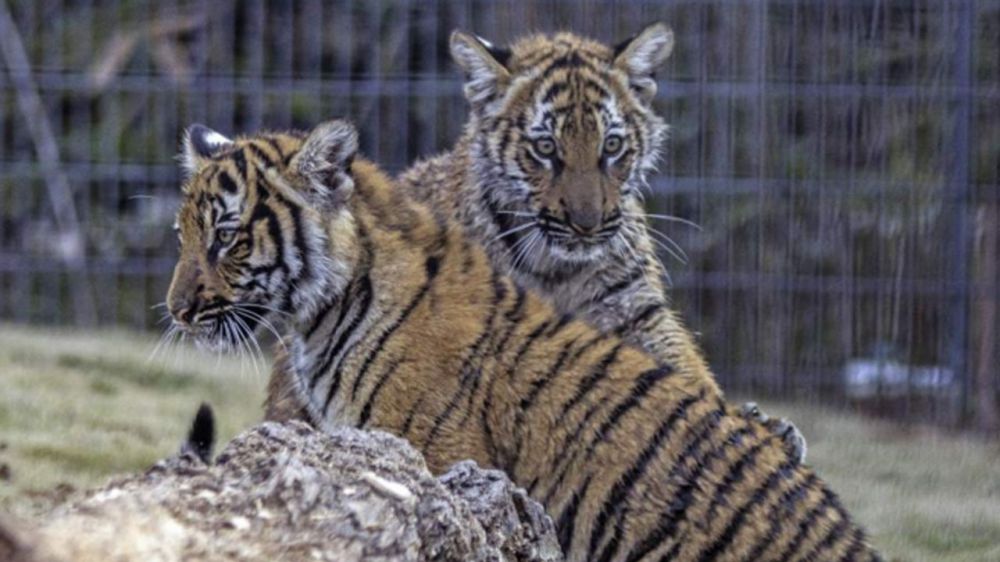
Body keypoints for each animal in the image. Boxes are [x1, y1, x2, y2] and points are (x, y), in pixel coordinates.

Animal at [398, 24, 808, 463]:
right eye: (545, 148)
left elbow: (684, 370)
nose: (586, 224)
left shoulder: (635, 310)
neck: (555, 267)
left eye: (611, 146)